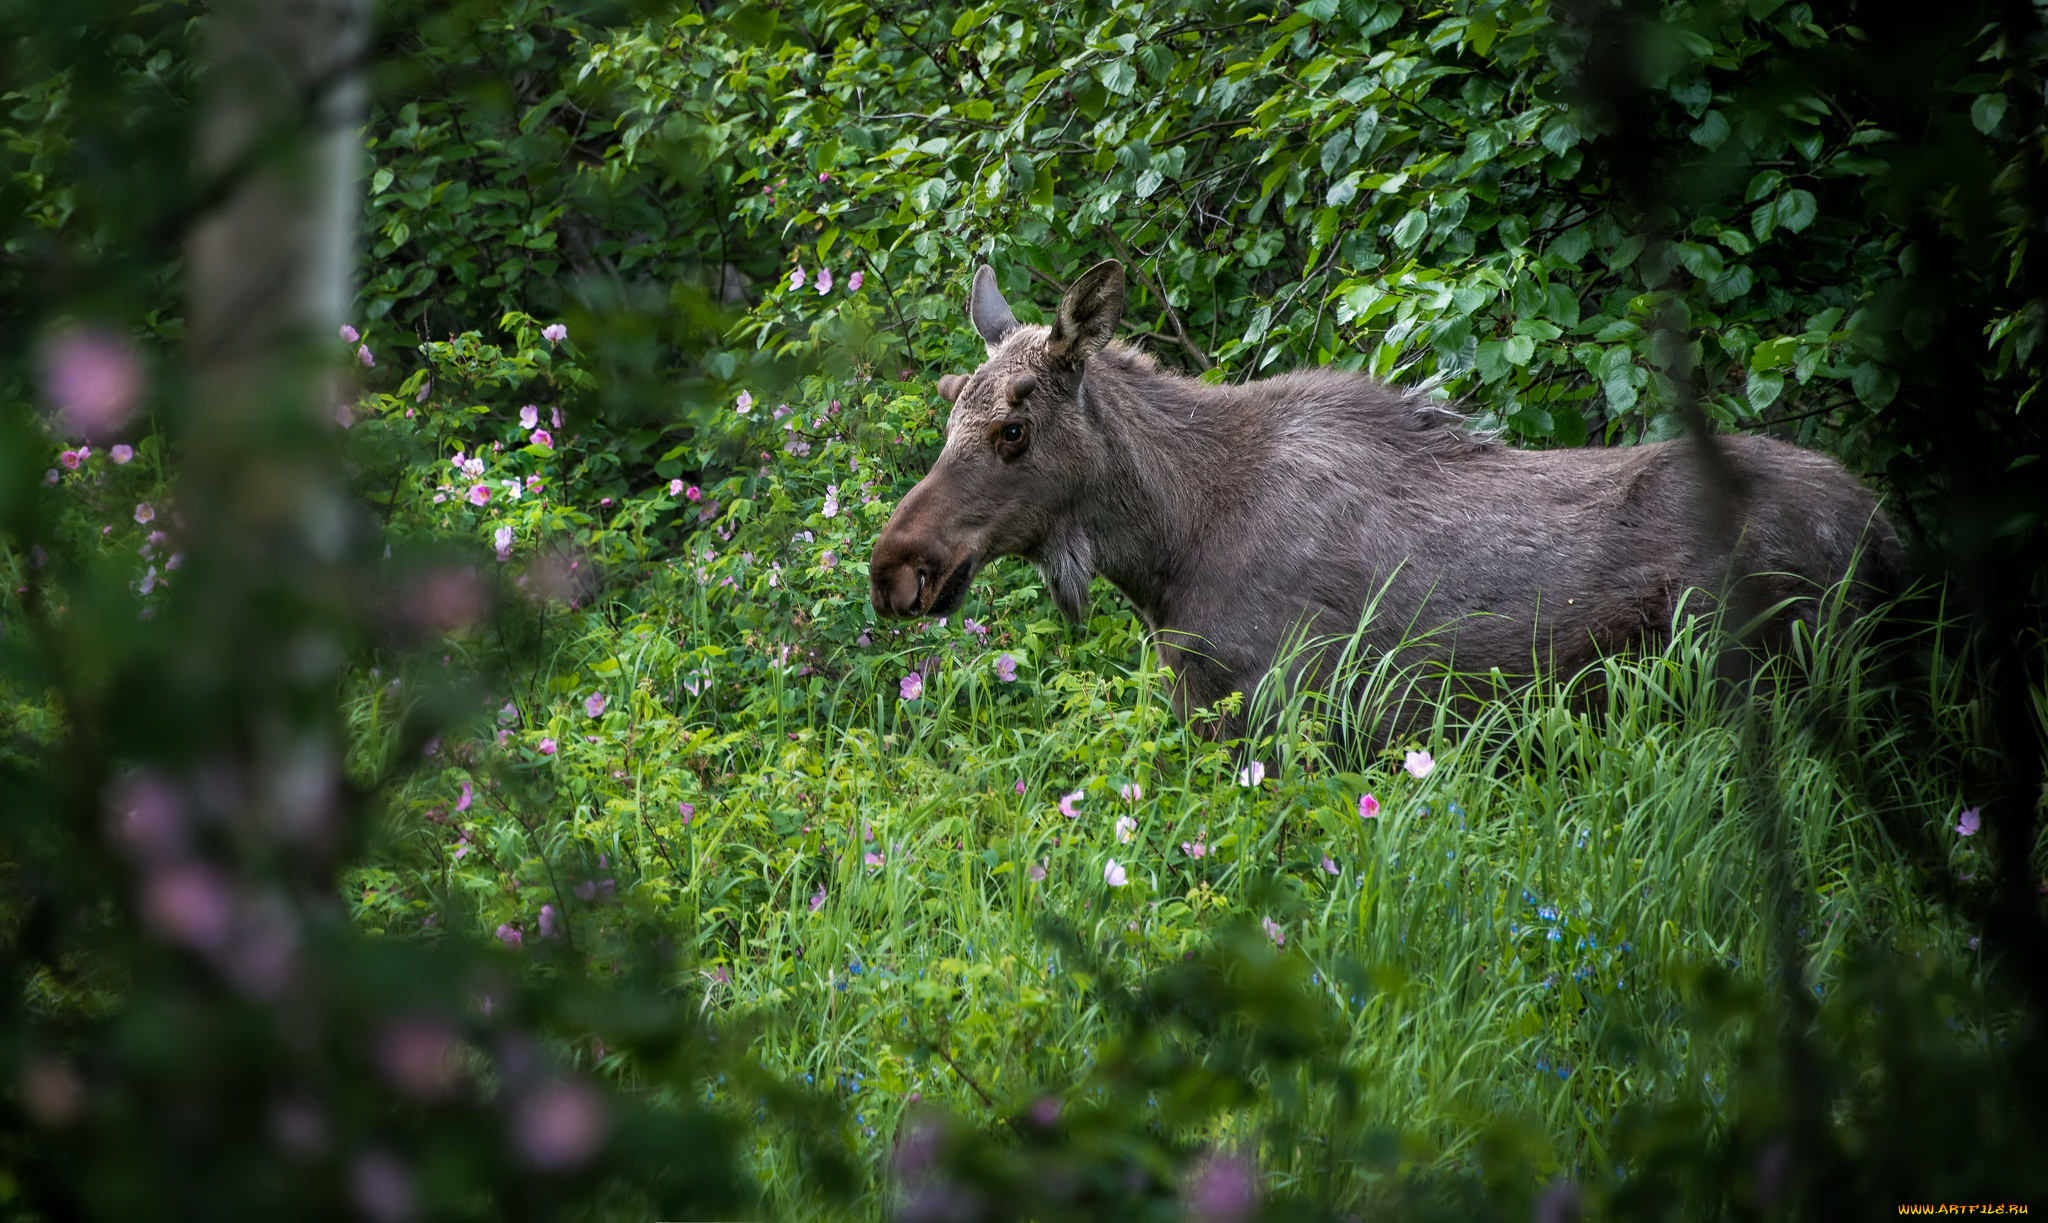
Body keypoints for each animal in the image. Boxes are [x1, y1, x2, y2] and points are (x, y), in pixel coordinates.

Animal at [868, 257, 1900, 733]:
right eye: (949, 405)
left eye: (1013, 428)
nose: (894, 568)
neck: (1164, 548)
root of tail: (1886, 530)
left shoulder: (1304, 714)